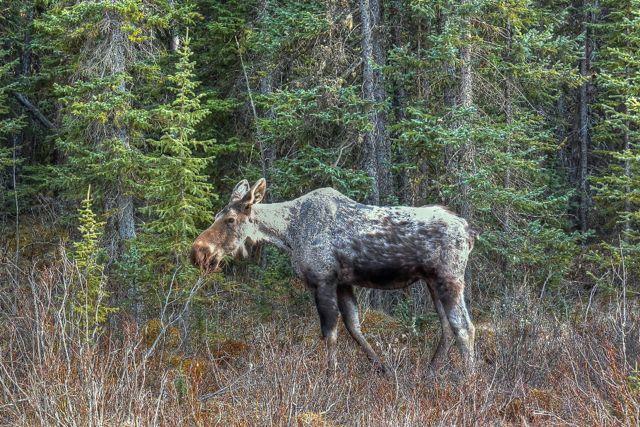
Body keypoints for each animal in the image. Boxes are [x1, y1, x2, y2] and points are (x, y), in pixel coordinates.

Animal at [190, 179, 476, 372]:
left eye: (229, 220)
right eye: (215, 215)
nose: (197, 251)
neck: (288, 234)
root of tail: (469, 231)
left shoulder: (323, 280)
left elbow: (330, 332)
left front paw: (331, 375)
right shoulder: (343, 283)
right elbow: (354, 327)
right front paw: (384, 369)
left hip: (450, 277)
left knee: (464, 327)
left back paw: (469, 382)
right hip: (432, 281)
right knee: (447, 327)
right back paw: (431, 372)